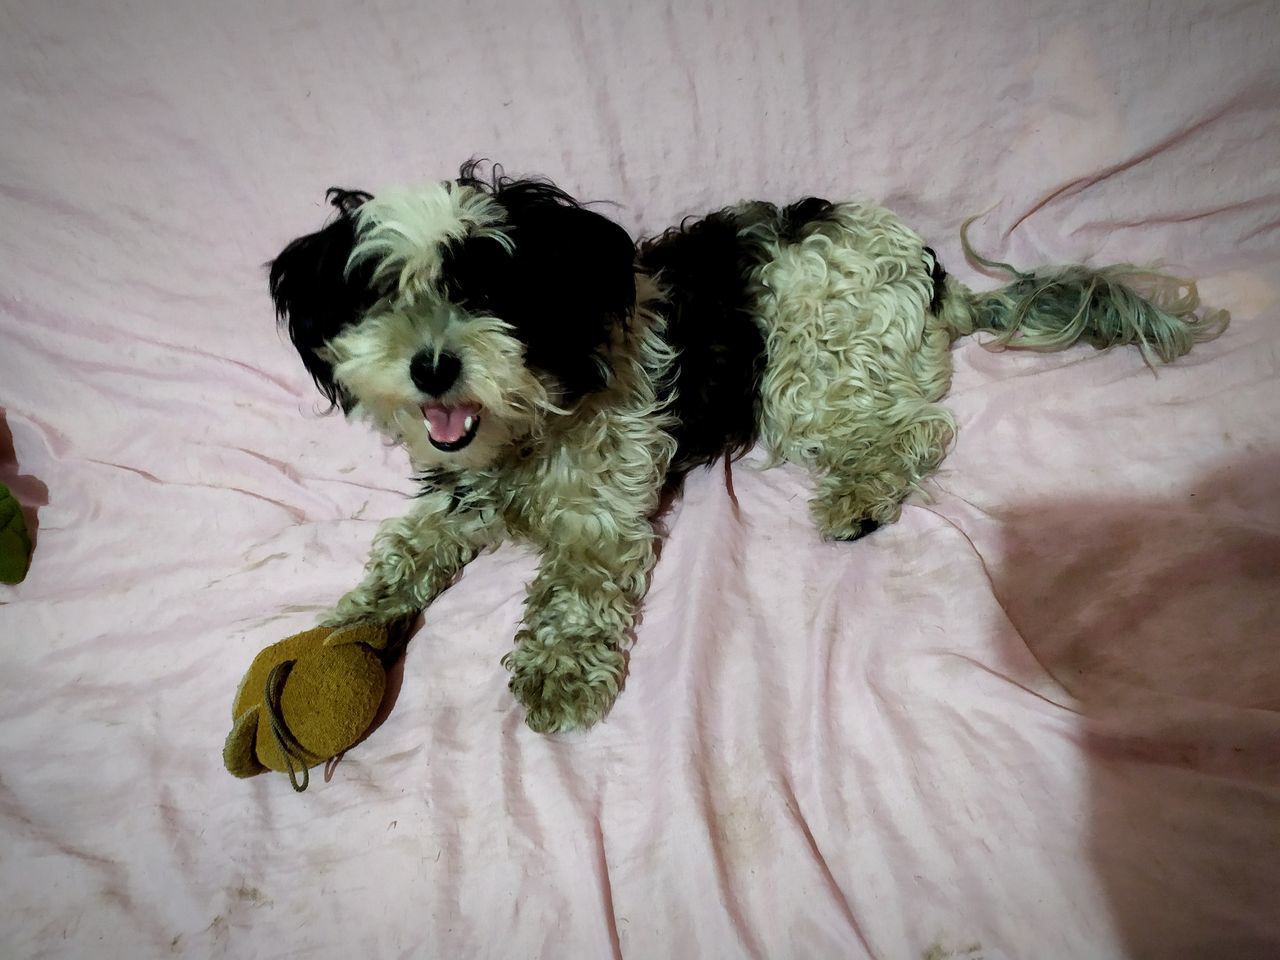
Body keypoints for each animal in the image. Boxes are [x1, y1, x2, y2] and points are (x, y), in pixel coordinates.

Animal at [262, 163, 1228, 737]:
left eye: (492, 292)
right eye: (379, 294)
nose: (431, 368)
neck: (533, 420)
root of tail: (932, 272)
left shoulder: (605, 520)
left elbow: (576, 595)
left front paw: (558, 675)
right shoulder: (454, 494)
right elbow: (402, 554)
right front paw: (351, 624)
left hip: (805, 379)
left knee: (914, 428)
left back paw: (859, 499)